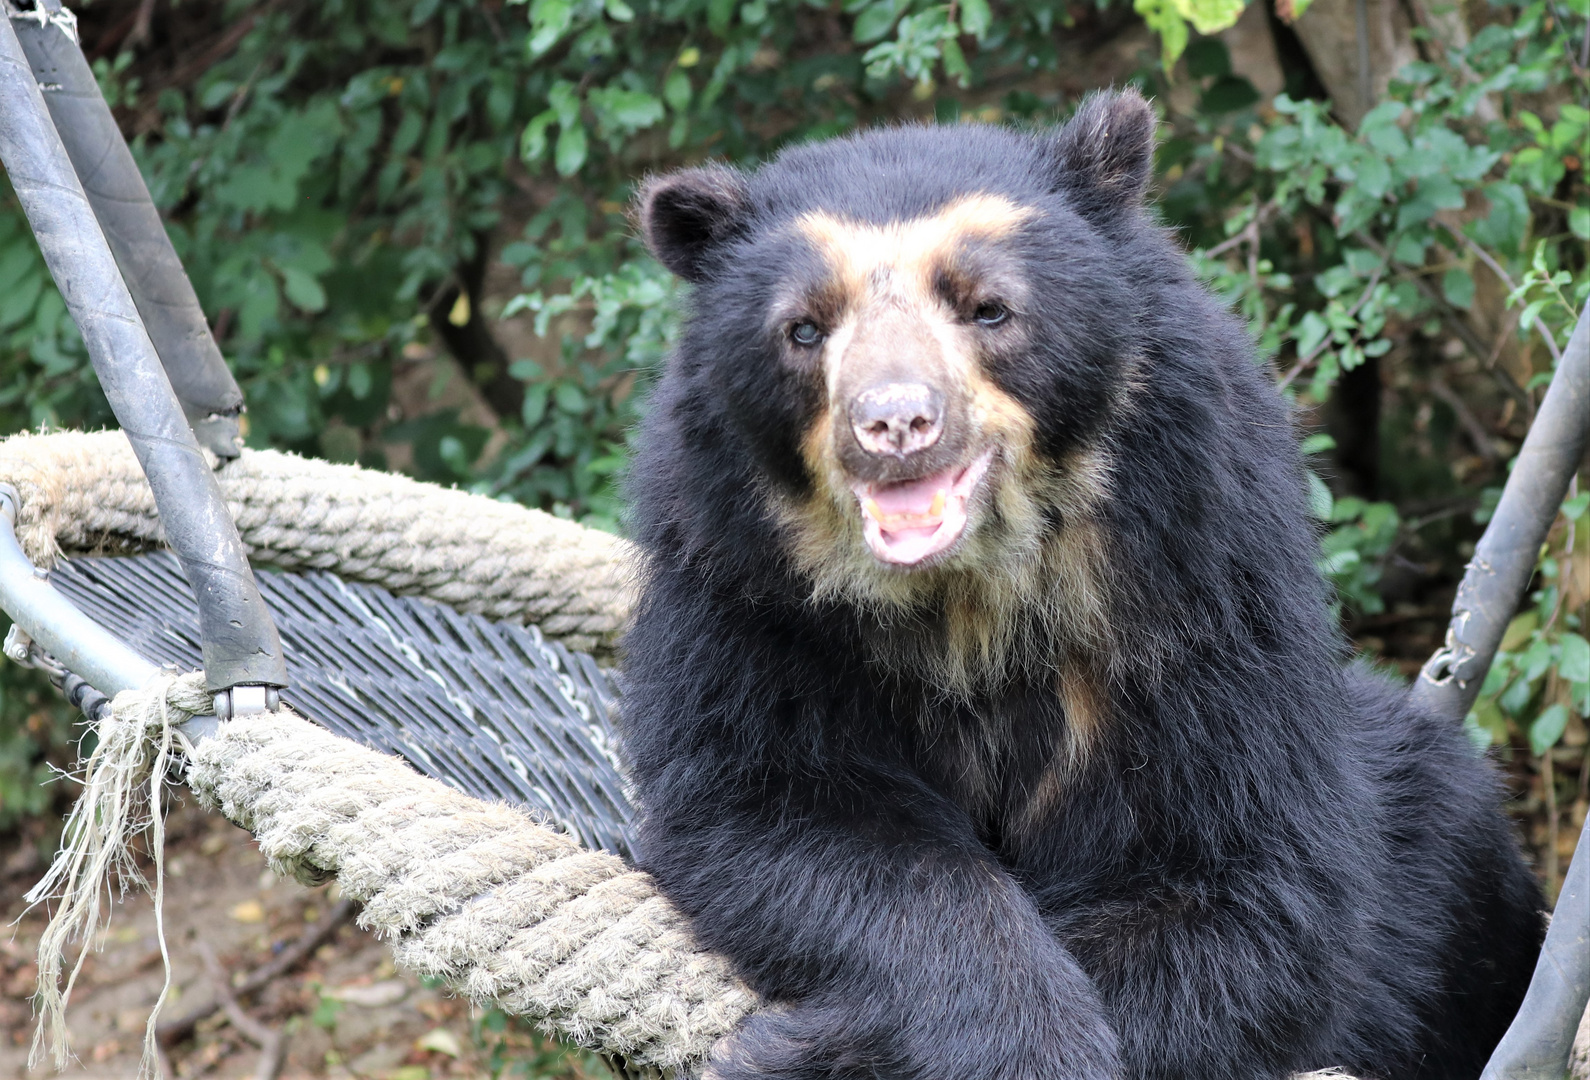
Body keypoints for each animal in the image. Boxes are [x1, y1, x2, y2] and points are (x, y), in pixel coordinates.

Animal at [616, 90, 1539, 1080]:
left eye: (989, 309)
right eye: (803, 329)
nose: (894, 424)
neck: (968, 600)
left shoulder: (1200, 576)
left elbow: (1253, 884)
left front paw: (814, 1050)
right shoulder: (738, 587)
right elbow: (773, 802)